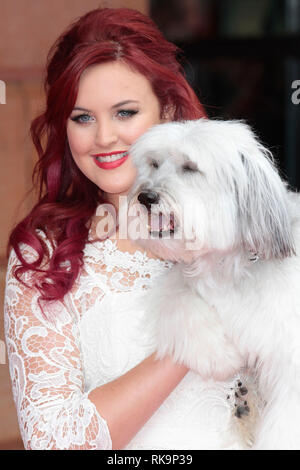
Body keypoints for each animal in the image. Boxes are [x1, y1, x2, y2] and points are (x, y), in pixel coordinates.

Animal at [127, 119, 300, 450]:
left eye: (190, 168)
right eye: (154, 163)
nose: (146, 197)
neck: (229, 268)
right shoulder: (181, 281)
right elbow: (179, 302)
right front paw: (217, 355)